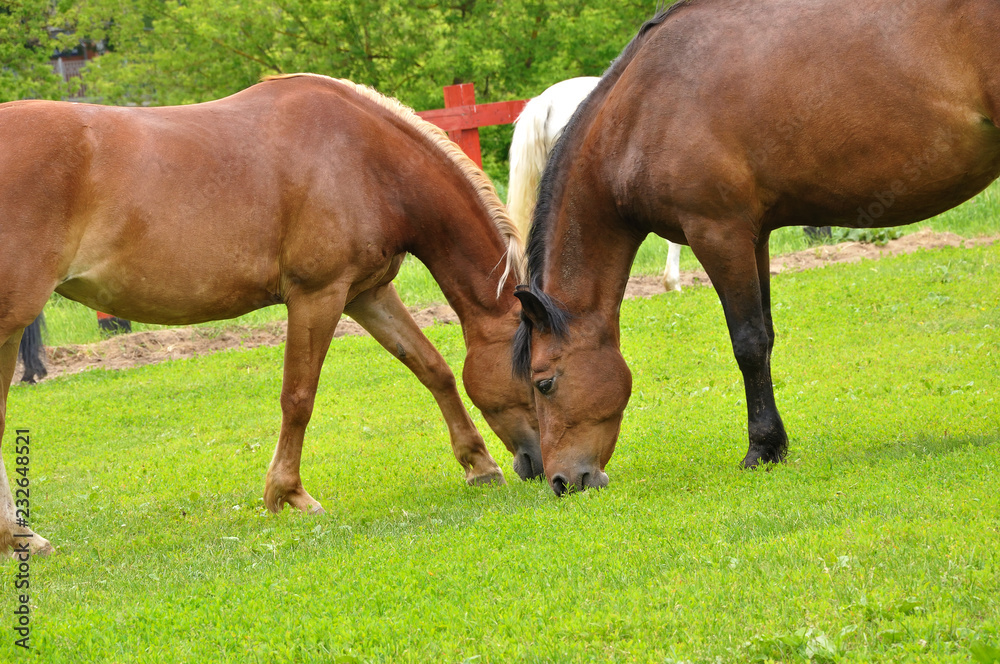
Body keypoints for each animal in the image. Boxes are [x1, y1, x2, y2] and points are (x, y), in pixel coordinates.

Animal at [0, 75, 544, 556]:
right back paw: (21, 537)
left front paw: (478, 464)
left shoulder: (367, 294)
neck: (364, 158)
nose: (541, 466)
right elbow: (298, 398)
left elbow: (433, 368)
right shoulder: (318, 295)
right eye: (539, 380)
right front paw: (288, 494)